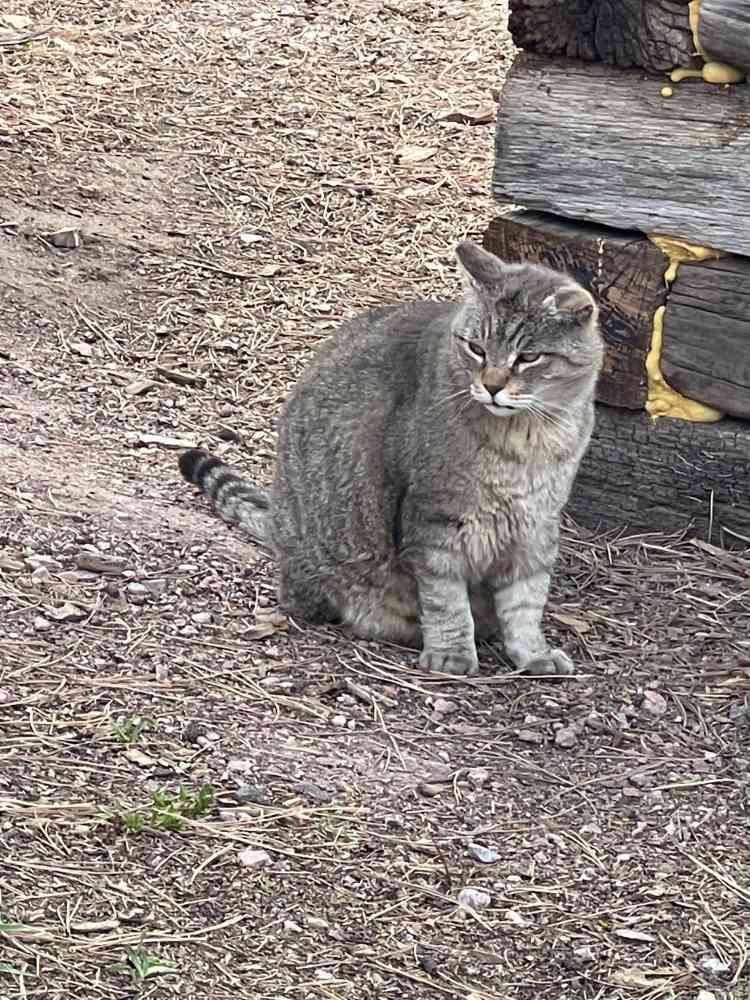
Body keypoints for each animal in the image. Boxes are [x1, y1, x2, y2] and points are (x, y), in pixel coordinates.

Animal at [181, 243, 604, 680]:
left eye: (528, 357)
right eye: (476, 348)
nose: (491, 386)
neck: (529, 439)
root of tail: (277, 520)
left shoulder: (536, 527)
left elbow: (526, 601)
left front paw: (533, 652)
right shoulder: (434, 522)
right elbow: (445, 599)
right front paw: (452, 653)